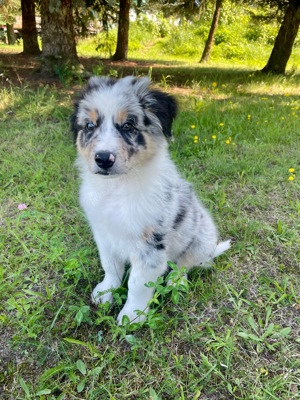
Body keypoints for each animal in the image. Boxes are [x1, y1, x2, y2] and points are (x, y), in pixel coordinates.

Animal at [71, 76, 231, 324]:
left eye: (128, 125)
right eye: (90, 126)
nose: (103, 159)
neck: (117, 186)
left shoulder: (150, 243)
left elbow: (137, 283)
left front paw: (132, 315)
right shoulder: (103, 234)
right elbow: (110, 266)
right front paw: (106, 291)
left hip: (200, 240)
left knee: (184, 265)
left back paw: (176, 281)